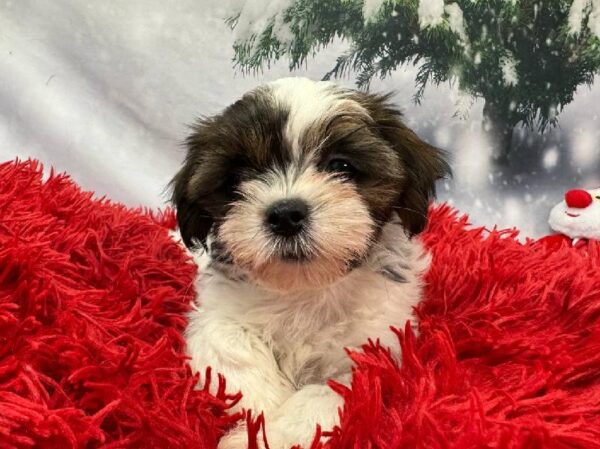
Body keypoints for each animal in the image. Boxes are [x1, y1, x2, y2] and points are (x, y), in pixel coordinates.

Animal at [171, 78, 448, 448]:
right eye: (237, 179)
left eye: (341, 166)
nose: (286, 214)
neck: (306, 287)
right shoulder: (217, 309)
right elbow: (225, 339)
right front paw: (258, 416)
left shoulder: (373, 351)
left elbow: (329, 393)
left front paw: (272, 434)